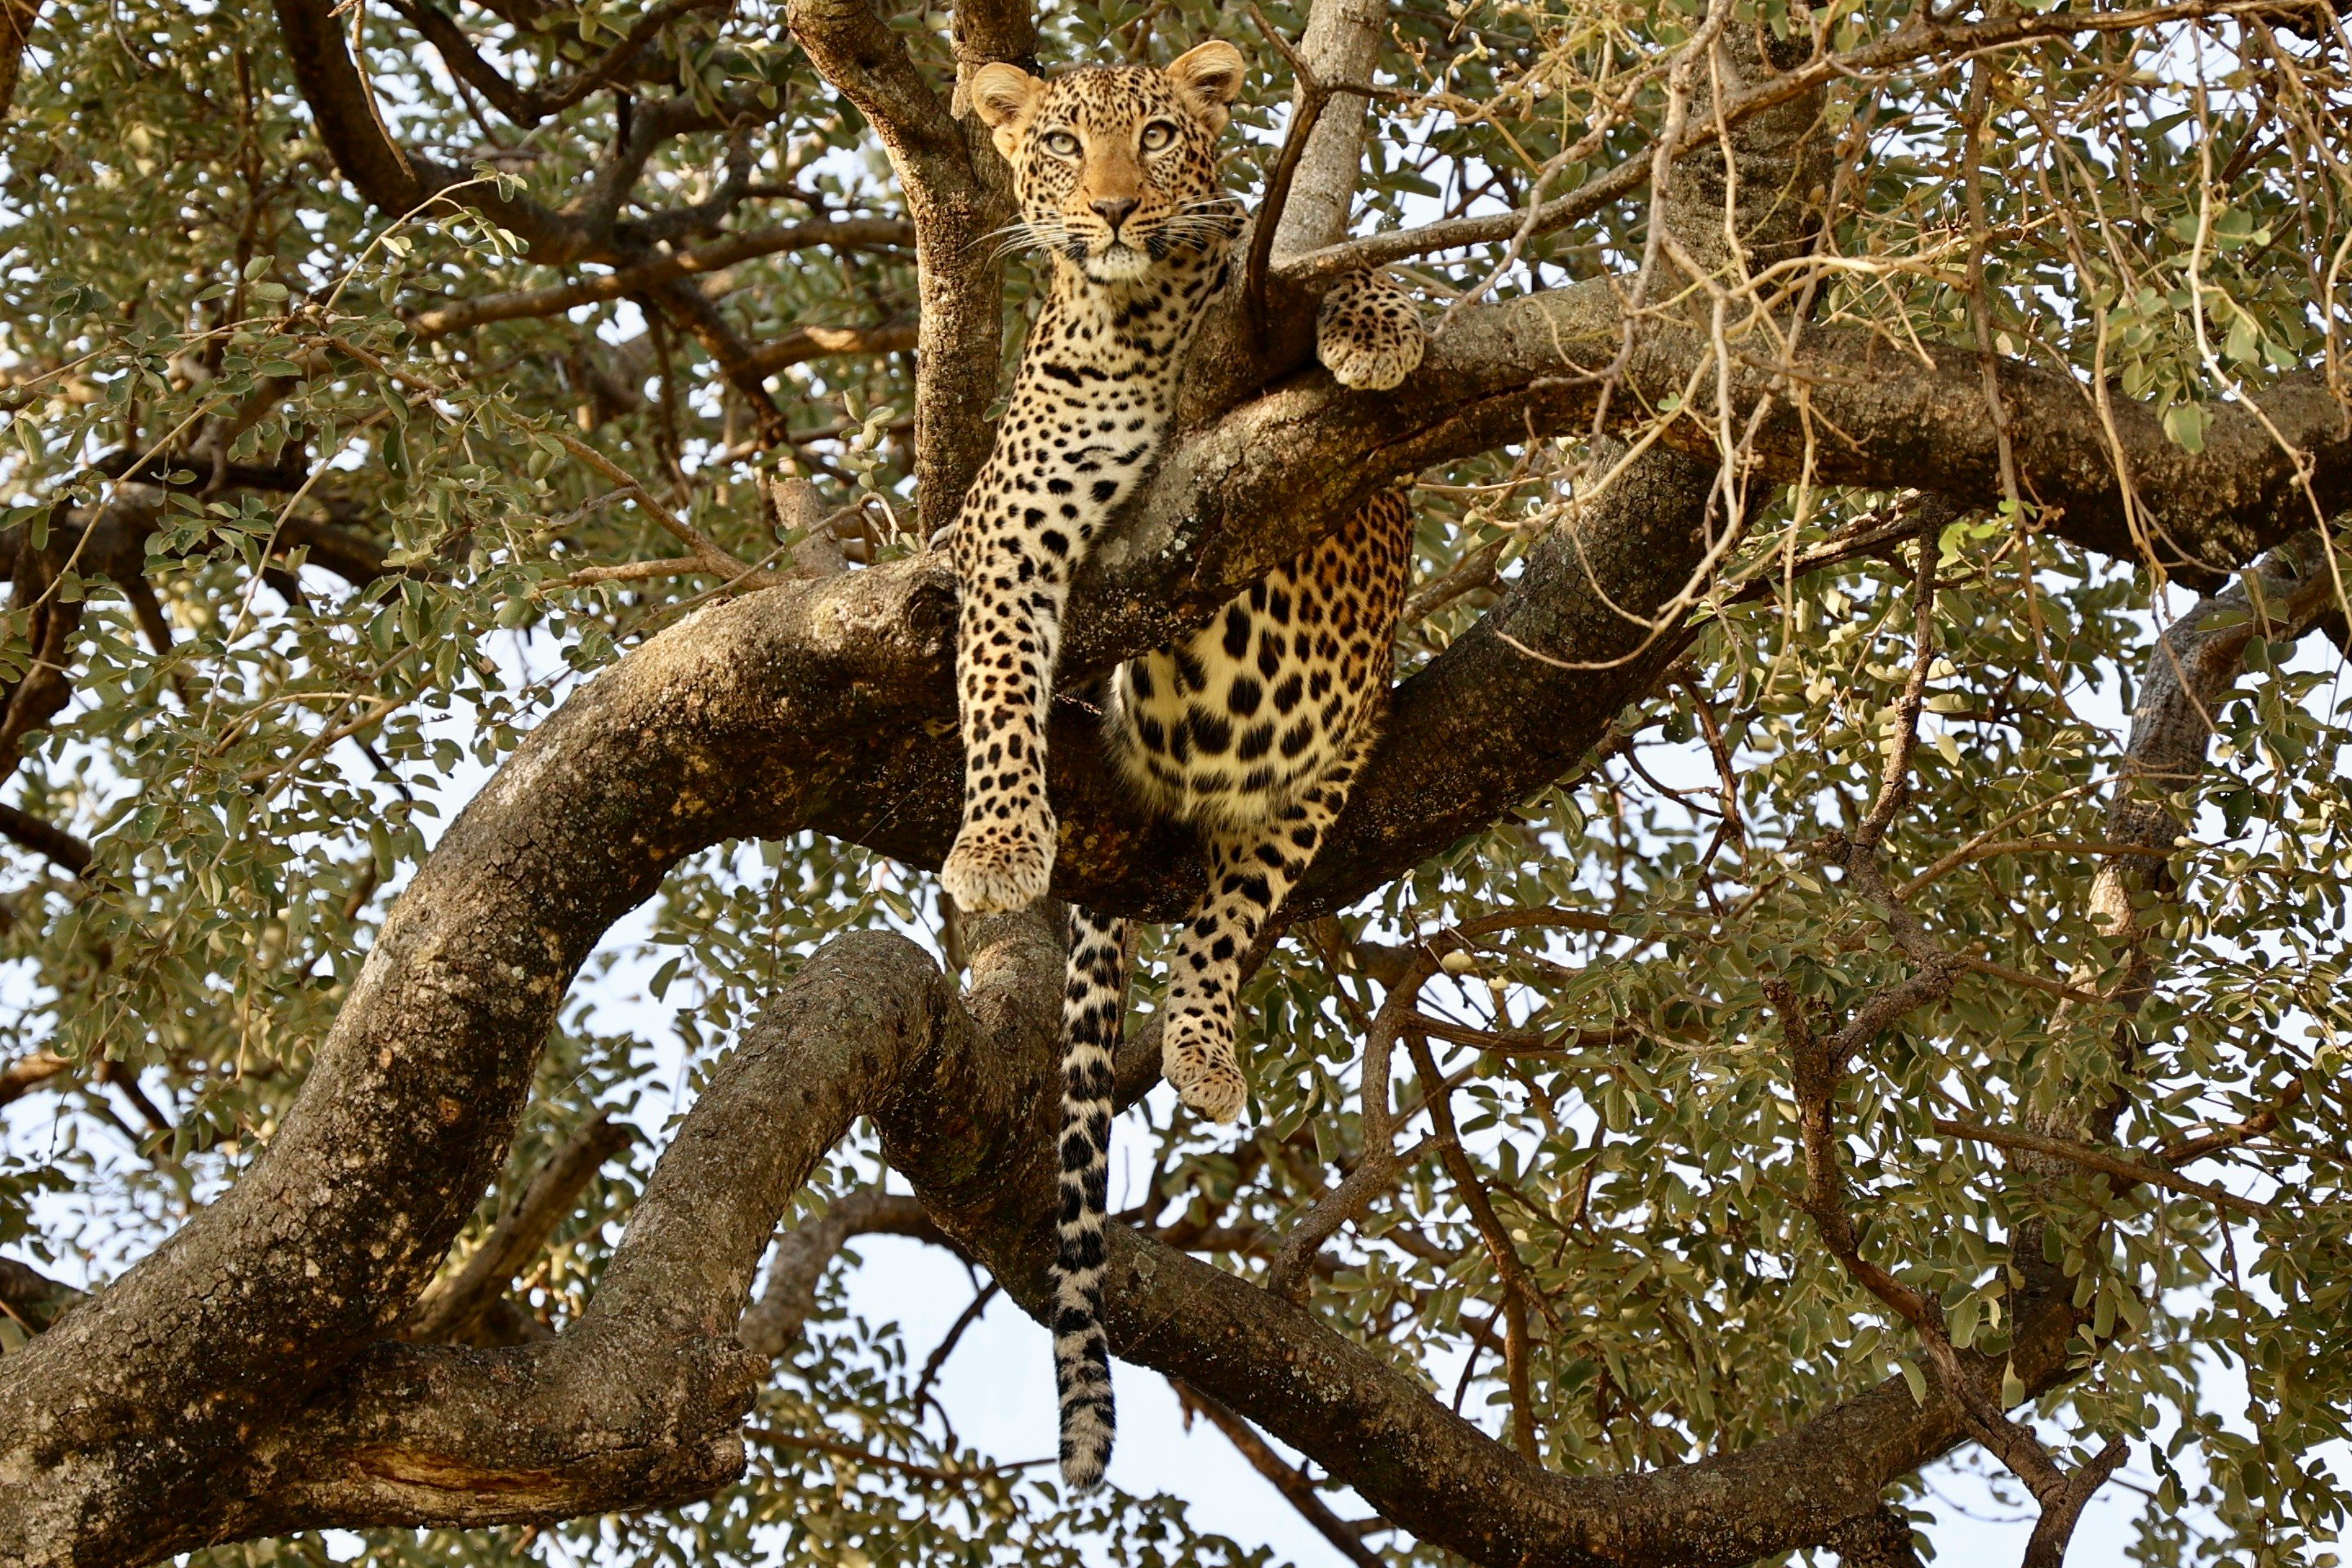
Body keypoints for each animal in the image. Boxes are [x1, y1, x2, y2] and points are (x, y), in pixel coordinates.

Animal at [950, 42, 1420, 1494]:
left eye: (1159, 135)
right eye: (1059, 143)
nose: (1110, 210)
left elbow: (1319, 278)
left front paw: (1378, 321)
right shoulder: (1006, 530)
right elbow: (995, 692)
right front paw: (998, 847)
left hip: (1339, 753)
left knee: (1228, 918)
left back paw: (1209, 1046)